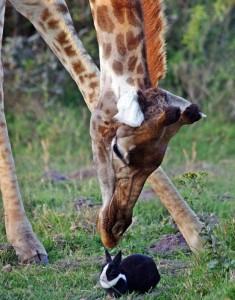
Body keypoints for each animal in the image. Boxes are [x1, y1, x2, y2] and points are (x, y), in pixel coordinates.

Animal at [0, 0, 204, 262]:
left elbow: (92, 82)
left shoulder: (41, 5)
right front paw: (27, 245)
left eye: (157, 162)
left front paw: (201, 237)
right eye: (117, 151)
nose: (112, 232)